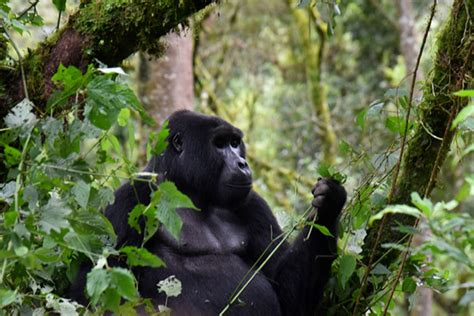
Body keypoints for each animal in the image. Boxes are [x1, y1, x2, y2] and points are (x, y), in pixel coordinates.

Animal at [70, 110, 344, 314]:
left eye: (235, 143)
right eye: (220, 144)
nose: (243, 164)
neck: (187, 190)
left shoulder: (254, 205)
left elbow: (287, 294)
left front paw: (330, 205)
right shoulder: (128, 199)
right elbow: (93, 293)